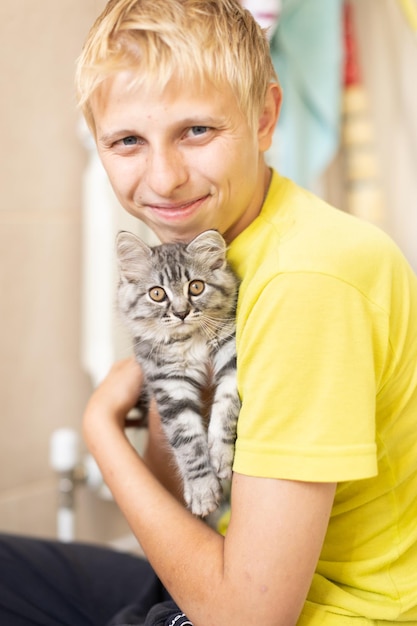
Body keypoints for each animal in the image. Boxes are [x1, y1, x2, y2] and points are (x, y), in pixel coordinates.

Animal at [117, 229, 239, 516]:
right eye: (157, 294)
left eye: (196, 287)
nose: (181, 312)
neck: (189, 340)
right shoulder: (169, 383)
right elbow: (188, 443)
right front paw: (203, 491)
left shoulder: (231, 355)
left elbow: (226, 407)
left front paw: (220, 454)